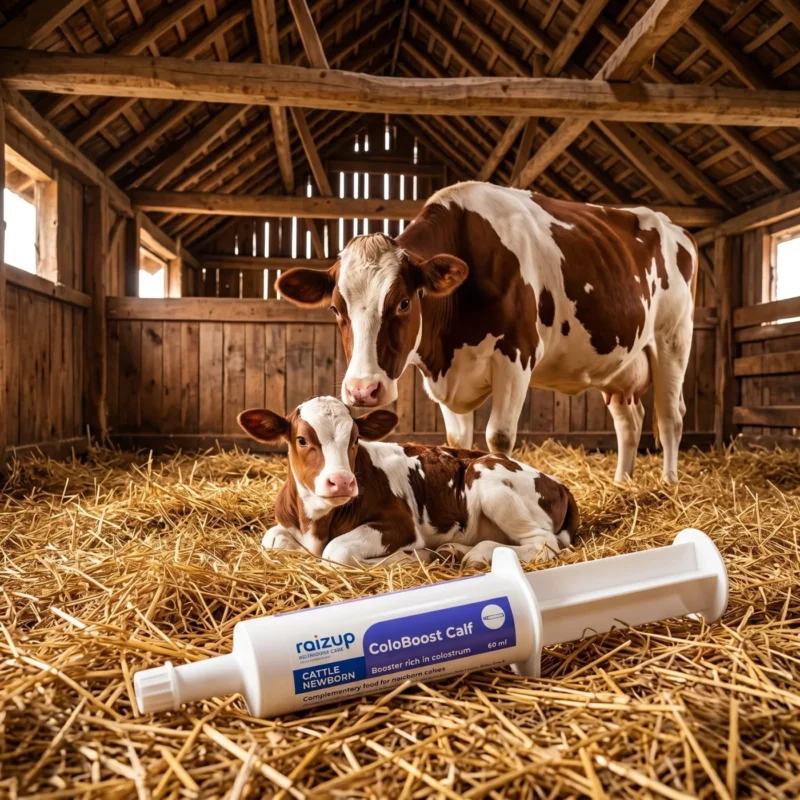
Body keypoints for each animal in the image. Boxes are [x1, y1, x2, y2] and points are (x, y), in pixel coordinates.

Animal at [238, 396, 579, 567]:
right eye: (301, 440)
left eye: (355, 439)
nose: (342, 482)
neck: (316, 524)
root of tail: (560, 484)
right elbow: (272, 539)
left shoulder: (401, 525)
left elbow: (336, 554)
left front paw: (411, 558)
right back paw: (454, 551)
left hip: (488, 476)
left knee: (543, 543)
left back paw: (476, 555)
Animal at [276, 183, 698, 484]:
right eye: (336, 308)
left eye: (403, 303)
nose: (363, 391)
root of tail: (676, 229)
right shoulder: (446, 374)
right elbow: (457, 442)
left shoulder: (516, 356)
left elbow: (499, 437)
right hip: (621, 365)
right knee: (629, 420)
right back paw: (622, 482)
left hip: (673, 338)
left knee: (669, 416)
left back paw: (669, 483)